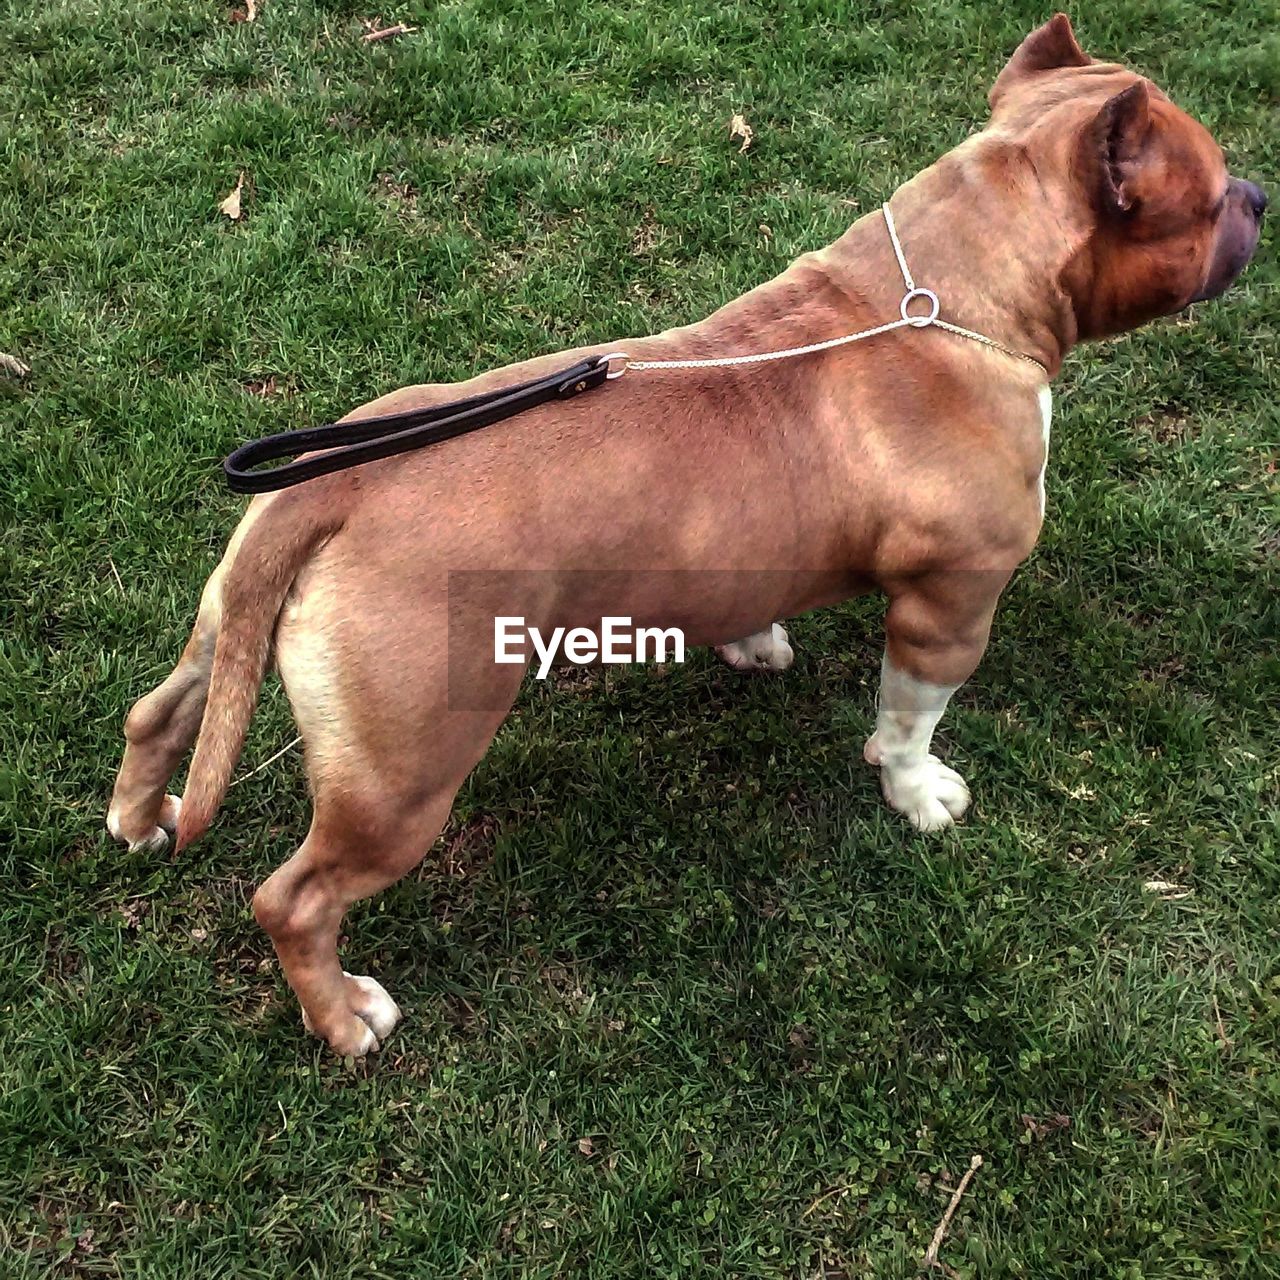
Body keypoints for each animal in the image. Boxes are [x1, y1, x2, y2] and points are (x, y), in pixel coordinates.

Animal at [107, 15, 1259, 1054]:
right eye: (1208, 198)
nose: (1257, 196)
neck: (946, 295)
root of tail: (334, 486)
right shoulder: (950, 604)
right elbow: (909, 717)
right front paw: (917, 791)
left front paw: (756, 643)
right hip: (404, 769)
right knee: (294, 897)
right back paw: (345, 1016)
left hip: (227, 626)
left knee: (157, 713)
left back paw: (138, 818)